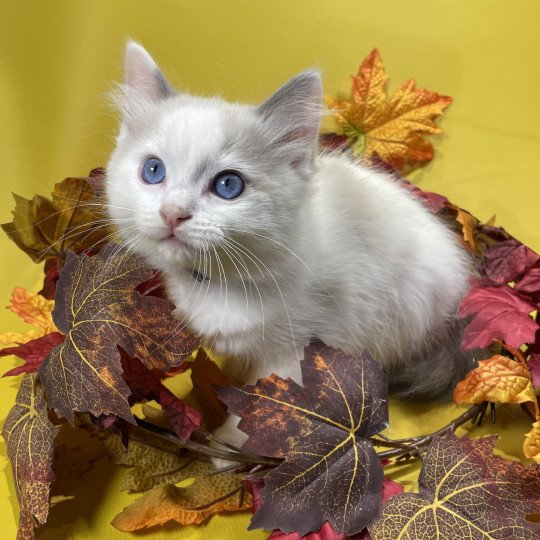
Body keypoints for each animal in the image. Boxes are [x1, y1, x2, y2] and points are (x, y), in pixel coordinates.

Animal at [107, 44, 474, 452]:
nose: (172, 213)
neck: (223, 280)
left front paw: (234, 443)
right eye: (153, 171)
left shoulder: (300, 350)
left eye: (228, 185)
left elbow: (266, 405)